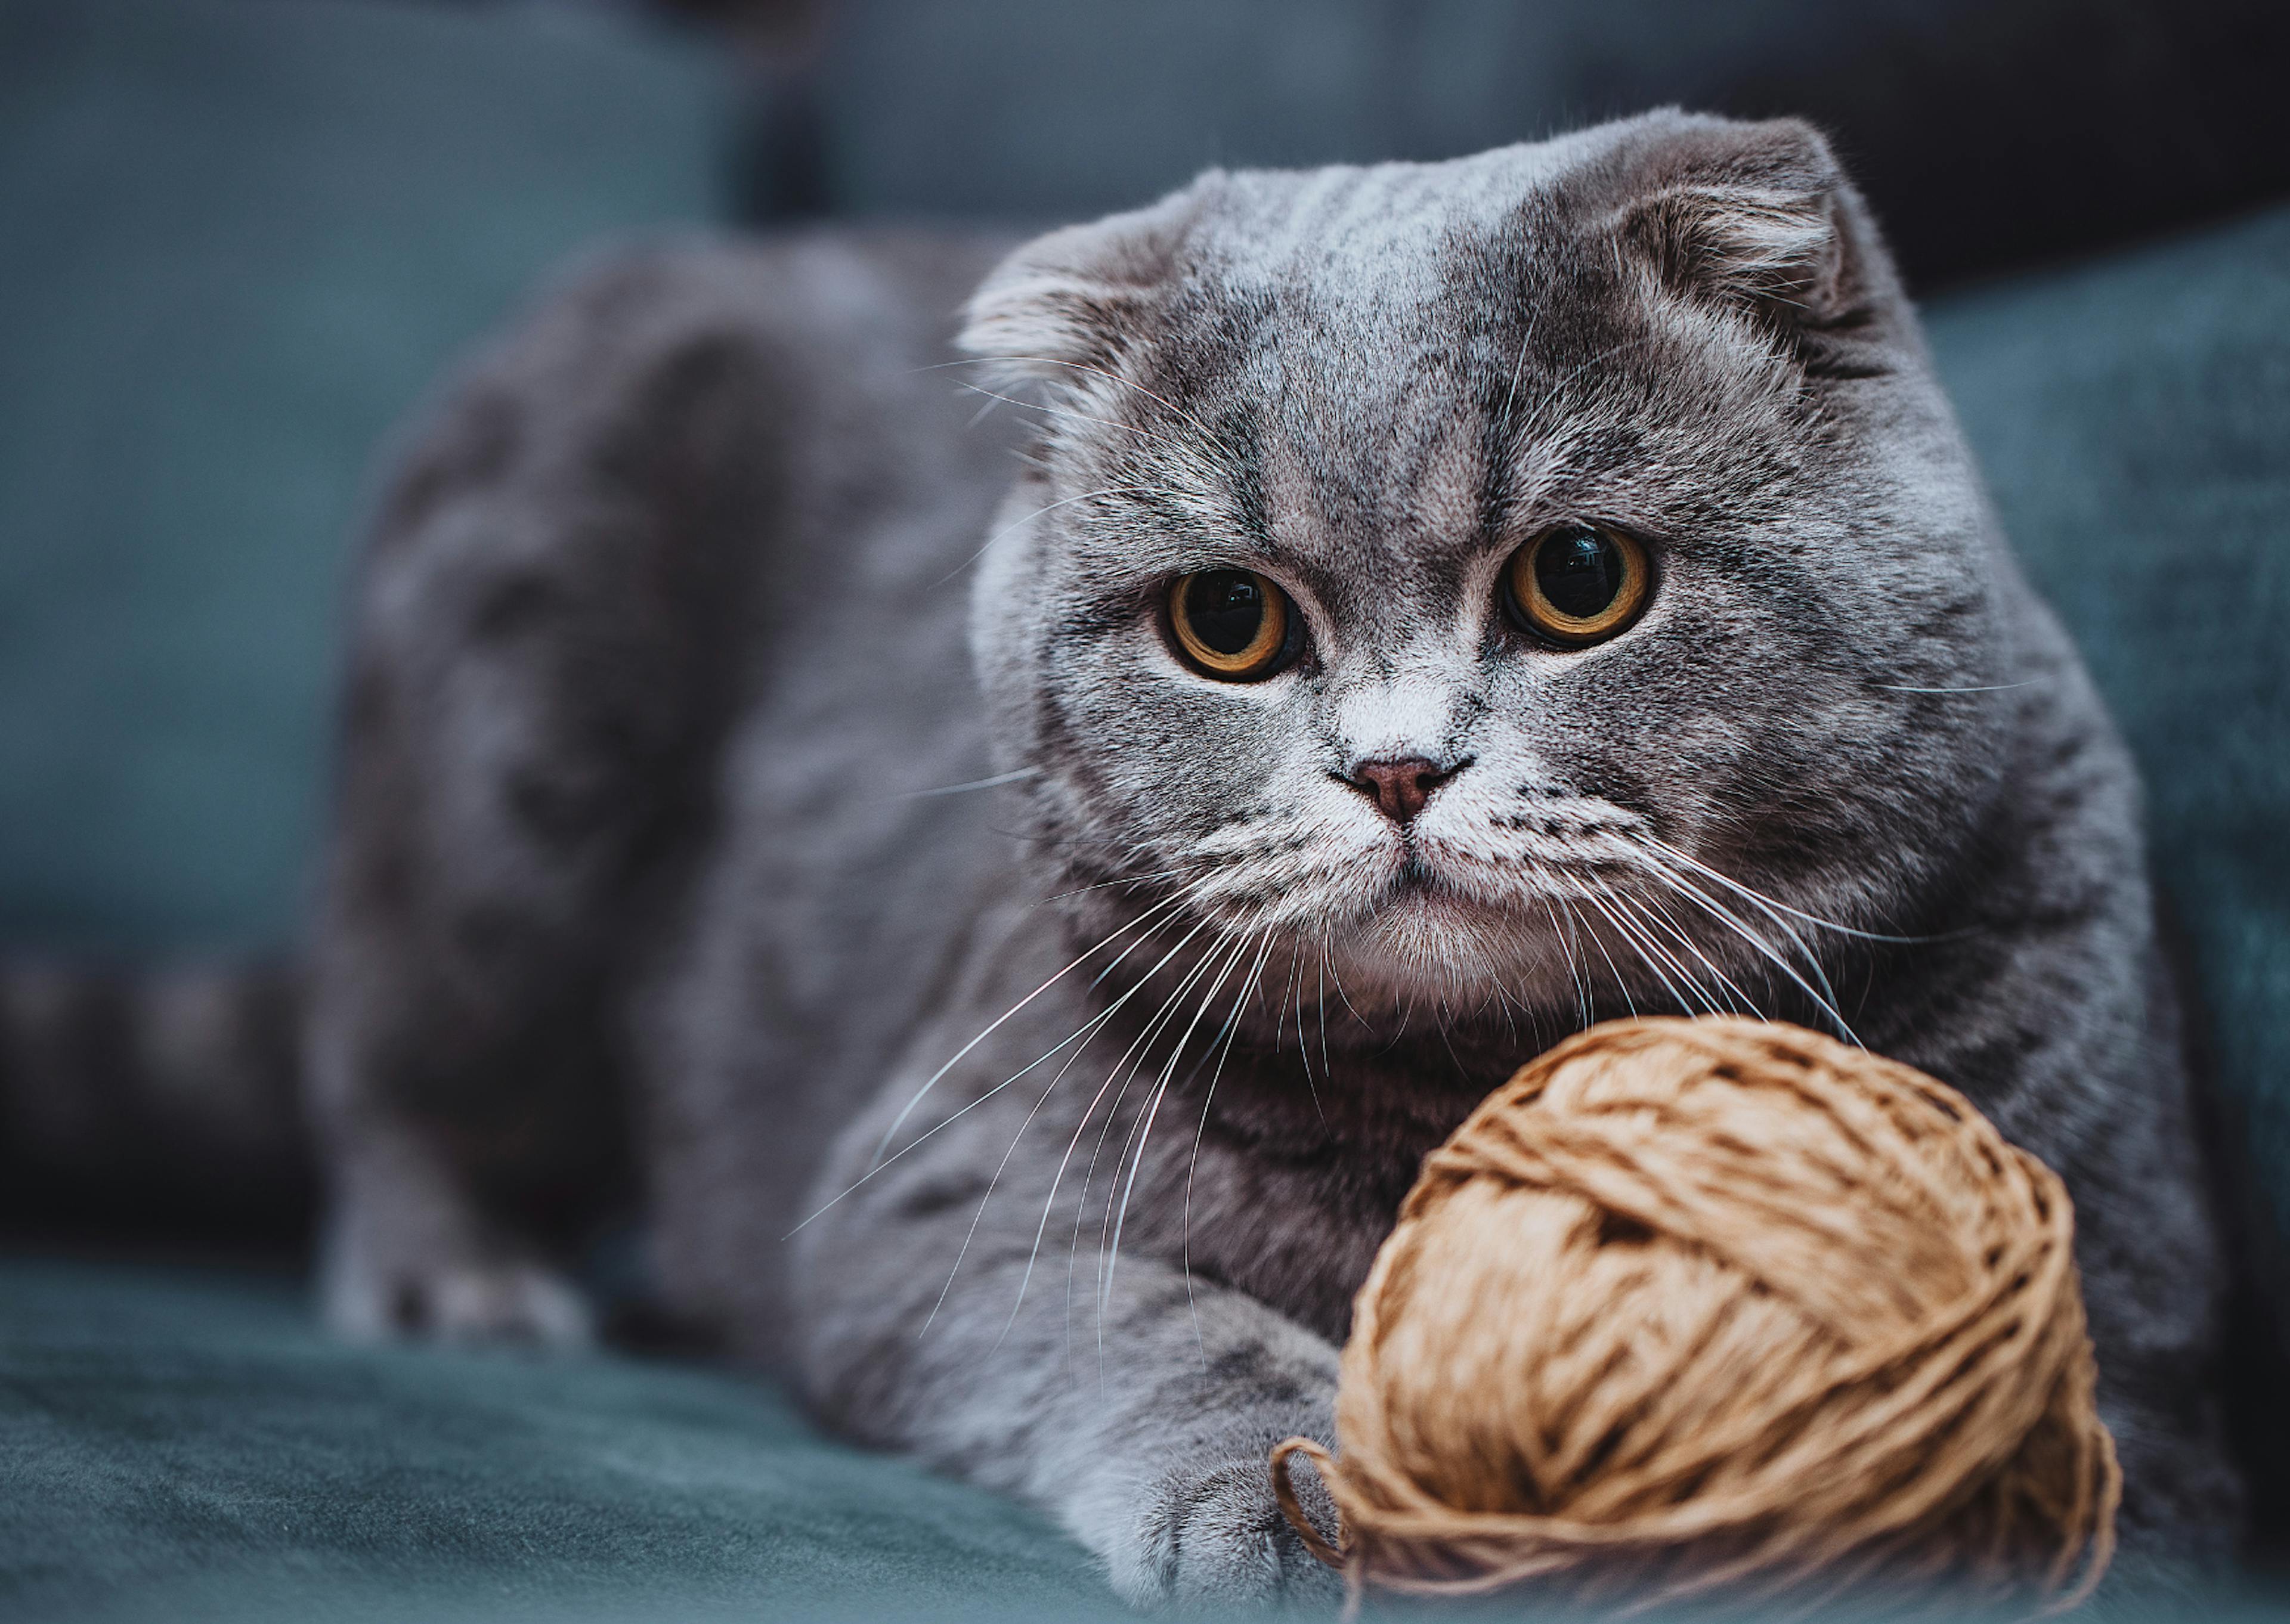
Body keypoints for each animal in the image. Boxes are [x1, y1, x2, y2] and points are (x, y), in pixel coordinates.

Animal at [286, 107, 2235, 1603]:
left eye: (1578, 578)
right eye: (1225, 620)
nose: (1394, 768)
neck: (1459, 1085)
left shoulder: (2138, 1340)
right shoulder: (929, 1209)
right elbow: (1159, 1321)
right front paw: (1308, 1495)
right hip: (505, 783)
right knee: (391, 1062)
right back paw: (458, 1277)